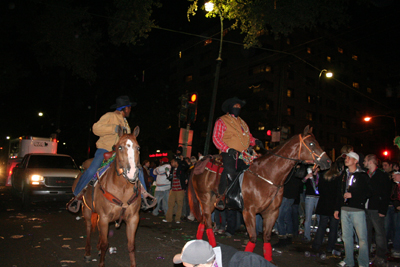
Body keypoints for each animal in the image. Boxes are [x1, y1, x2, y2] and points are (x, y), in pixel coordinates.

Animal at [72, 127, 143, 267]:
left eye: (138, 148)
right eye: (119, 147)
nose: (132, 173)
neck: (122, 188)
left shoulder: (133, 218)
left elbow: (131, 246)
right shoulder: (104, 217)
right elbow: (105, 244)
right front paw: (101, 261)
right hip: (87, 210)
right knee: (89, 228)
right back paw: (87, 253)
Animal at [188, 125, 332, 262]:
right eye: (312, 143)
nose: (328, 161)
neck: (268, 175)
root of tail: (200, 162)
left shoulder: (272, 212)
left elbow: (267, 238)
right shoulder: (249, 212)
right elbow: (253, 238)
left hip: (212, 202)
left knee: (204, 221)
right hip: (205, 198)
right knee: (207, 223)